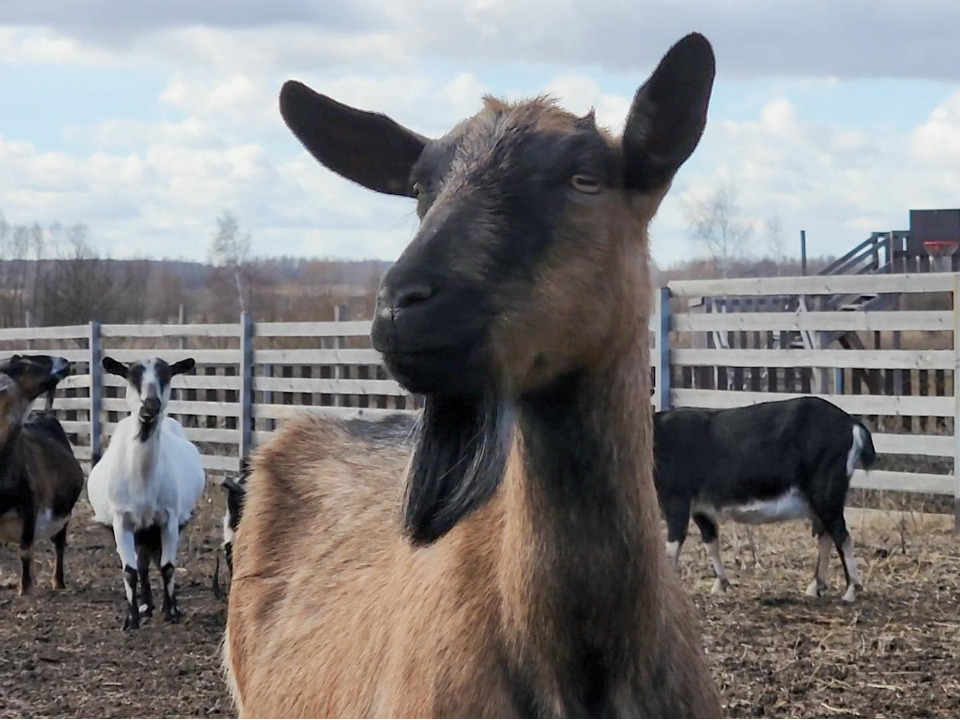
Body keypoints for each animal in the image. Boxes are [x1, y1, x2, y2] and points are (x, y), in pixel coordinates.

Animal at [0, 354, 85, 596]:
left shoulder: (30, 506)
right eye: (21, 362)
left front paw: (26, 589)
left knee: (59, 544)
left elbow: (25, 550)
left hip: (63, 513)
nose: (63, 361)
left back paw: (57, 582)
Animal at [87, 358, 205, 628]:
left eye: (166, 376)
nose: (150, 405)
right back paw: (145, 605)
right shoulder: (121, 521)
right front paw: (131, 619)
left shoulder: (169, 518)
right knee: (141, 564)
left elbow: (168, 566)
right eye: (132, 376)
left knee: (154, 559)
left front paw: (171, 612)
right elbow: (130, 571)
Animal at [652, 396, 876, 604]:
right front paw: (721, 584)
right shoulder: (701, 508)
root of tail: (852, 423)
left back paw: (851, 590)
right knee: (826, 534)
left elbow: (673, 546)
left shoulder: (676, 498)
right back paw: (815, 587)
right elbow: (711, 541)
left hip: (826, 491)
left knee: (841, 535)